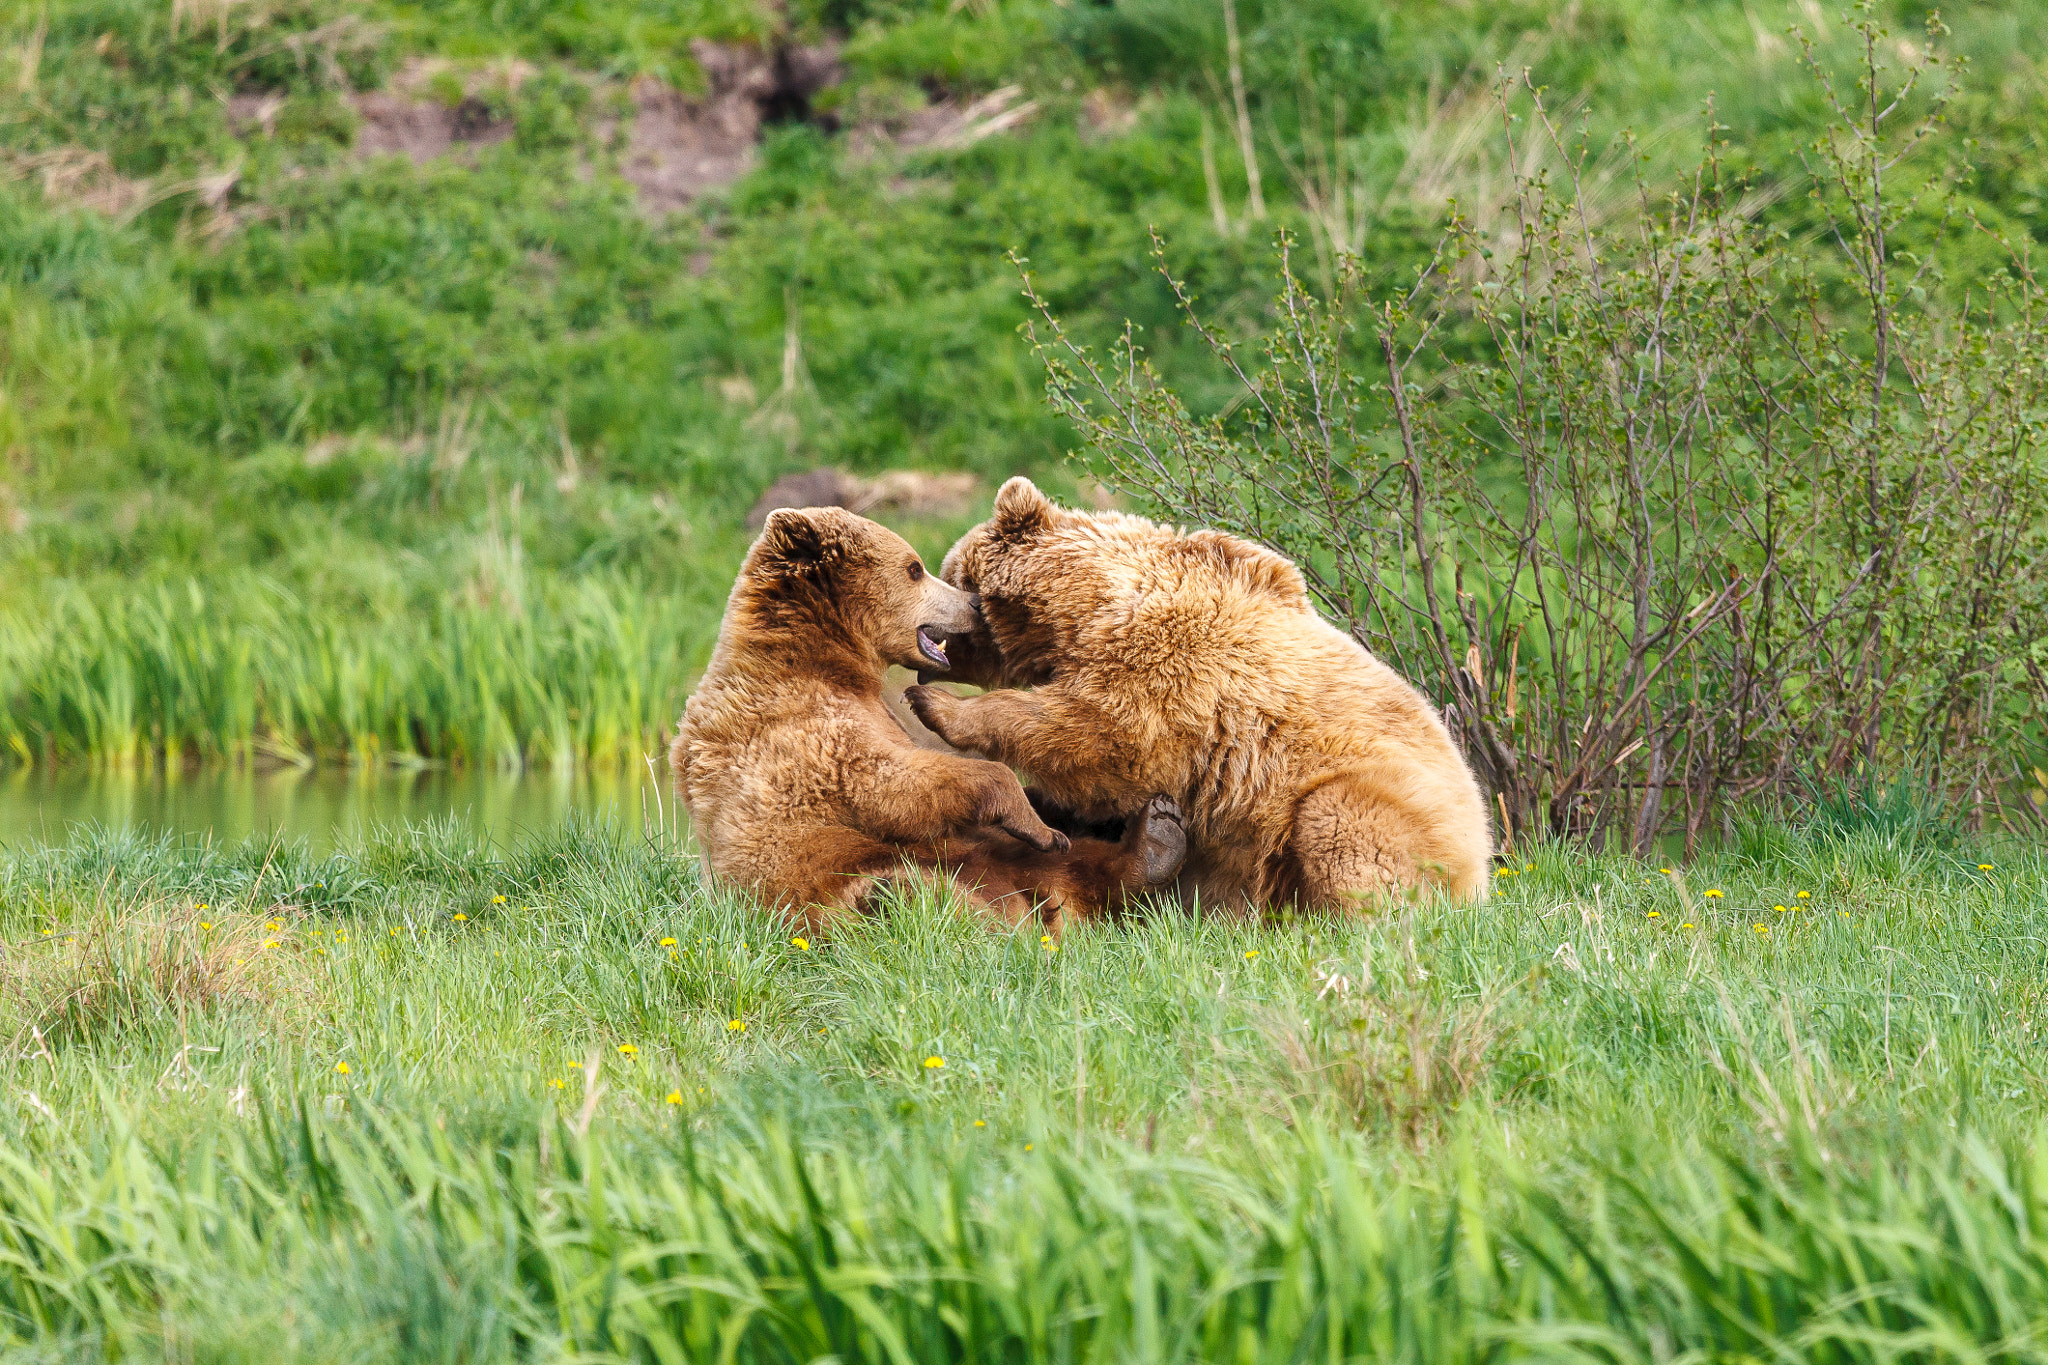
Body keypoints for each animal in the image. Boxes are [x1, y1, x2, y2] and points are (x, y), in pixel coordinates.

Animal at [670, 505, 1187, 934]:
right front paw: (1039, 823)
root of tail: (1033, 907)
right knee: (904, 893)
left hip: (973, 858)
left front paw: (1056, 813)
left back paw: (1154, 840)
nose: (973, 604)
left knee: (1062, 864)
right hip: (852, 877)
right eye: (915, 568)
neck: (822, 659)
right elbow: (894, 781)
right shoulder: (805, 732)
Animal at [904, 477, 1493, 913]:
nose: (930, 647)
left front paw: (940, 708)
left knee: (1341, 825)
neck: (1083, 613)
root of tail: (1484, 865)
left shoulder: (1171, 666)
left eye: (950, 575)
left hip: (1393, 805)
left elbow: (1099, 734)